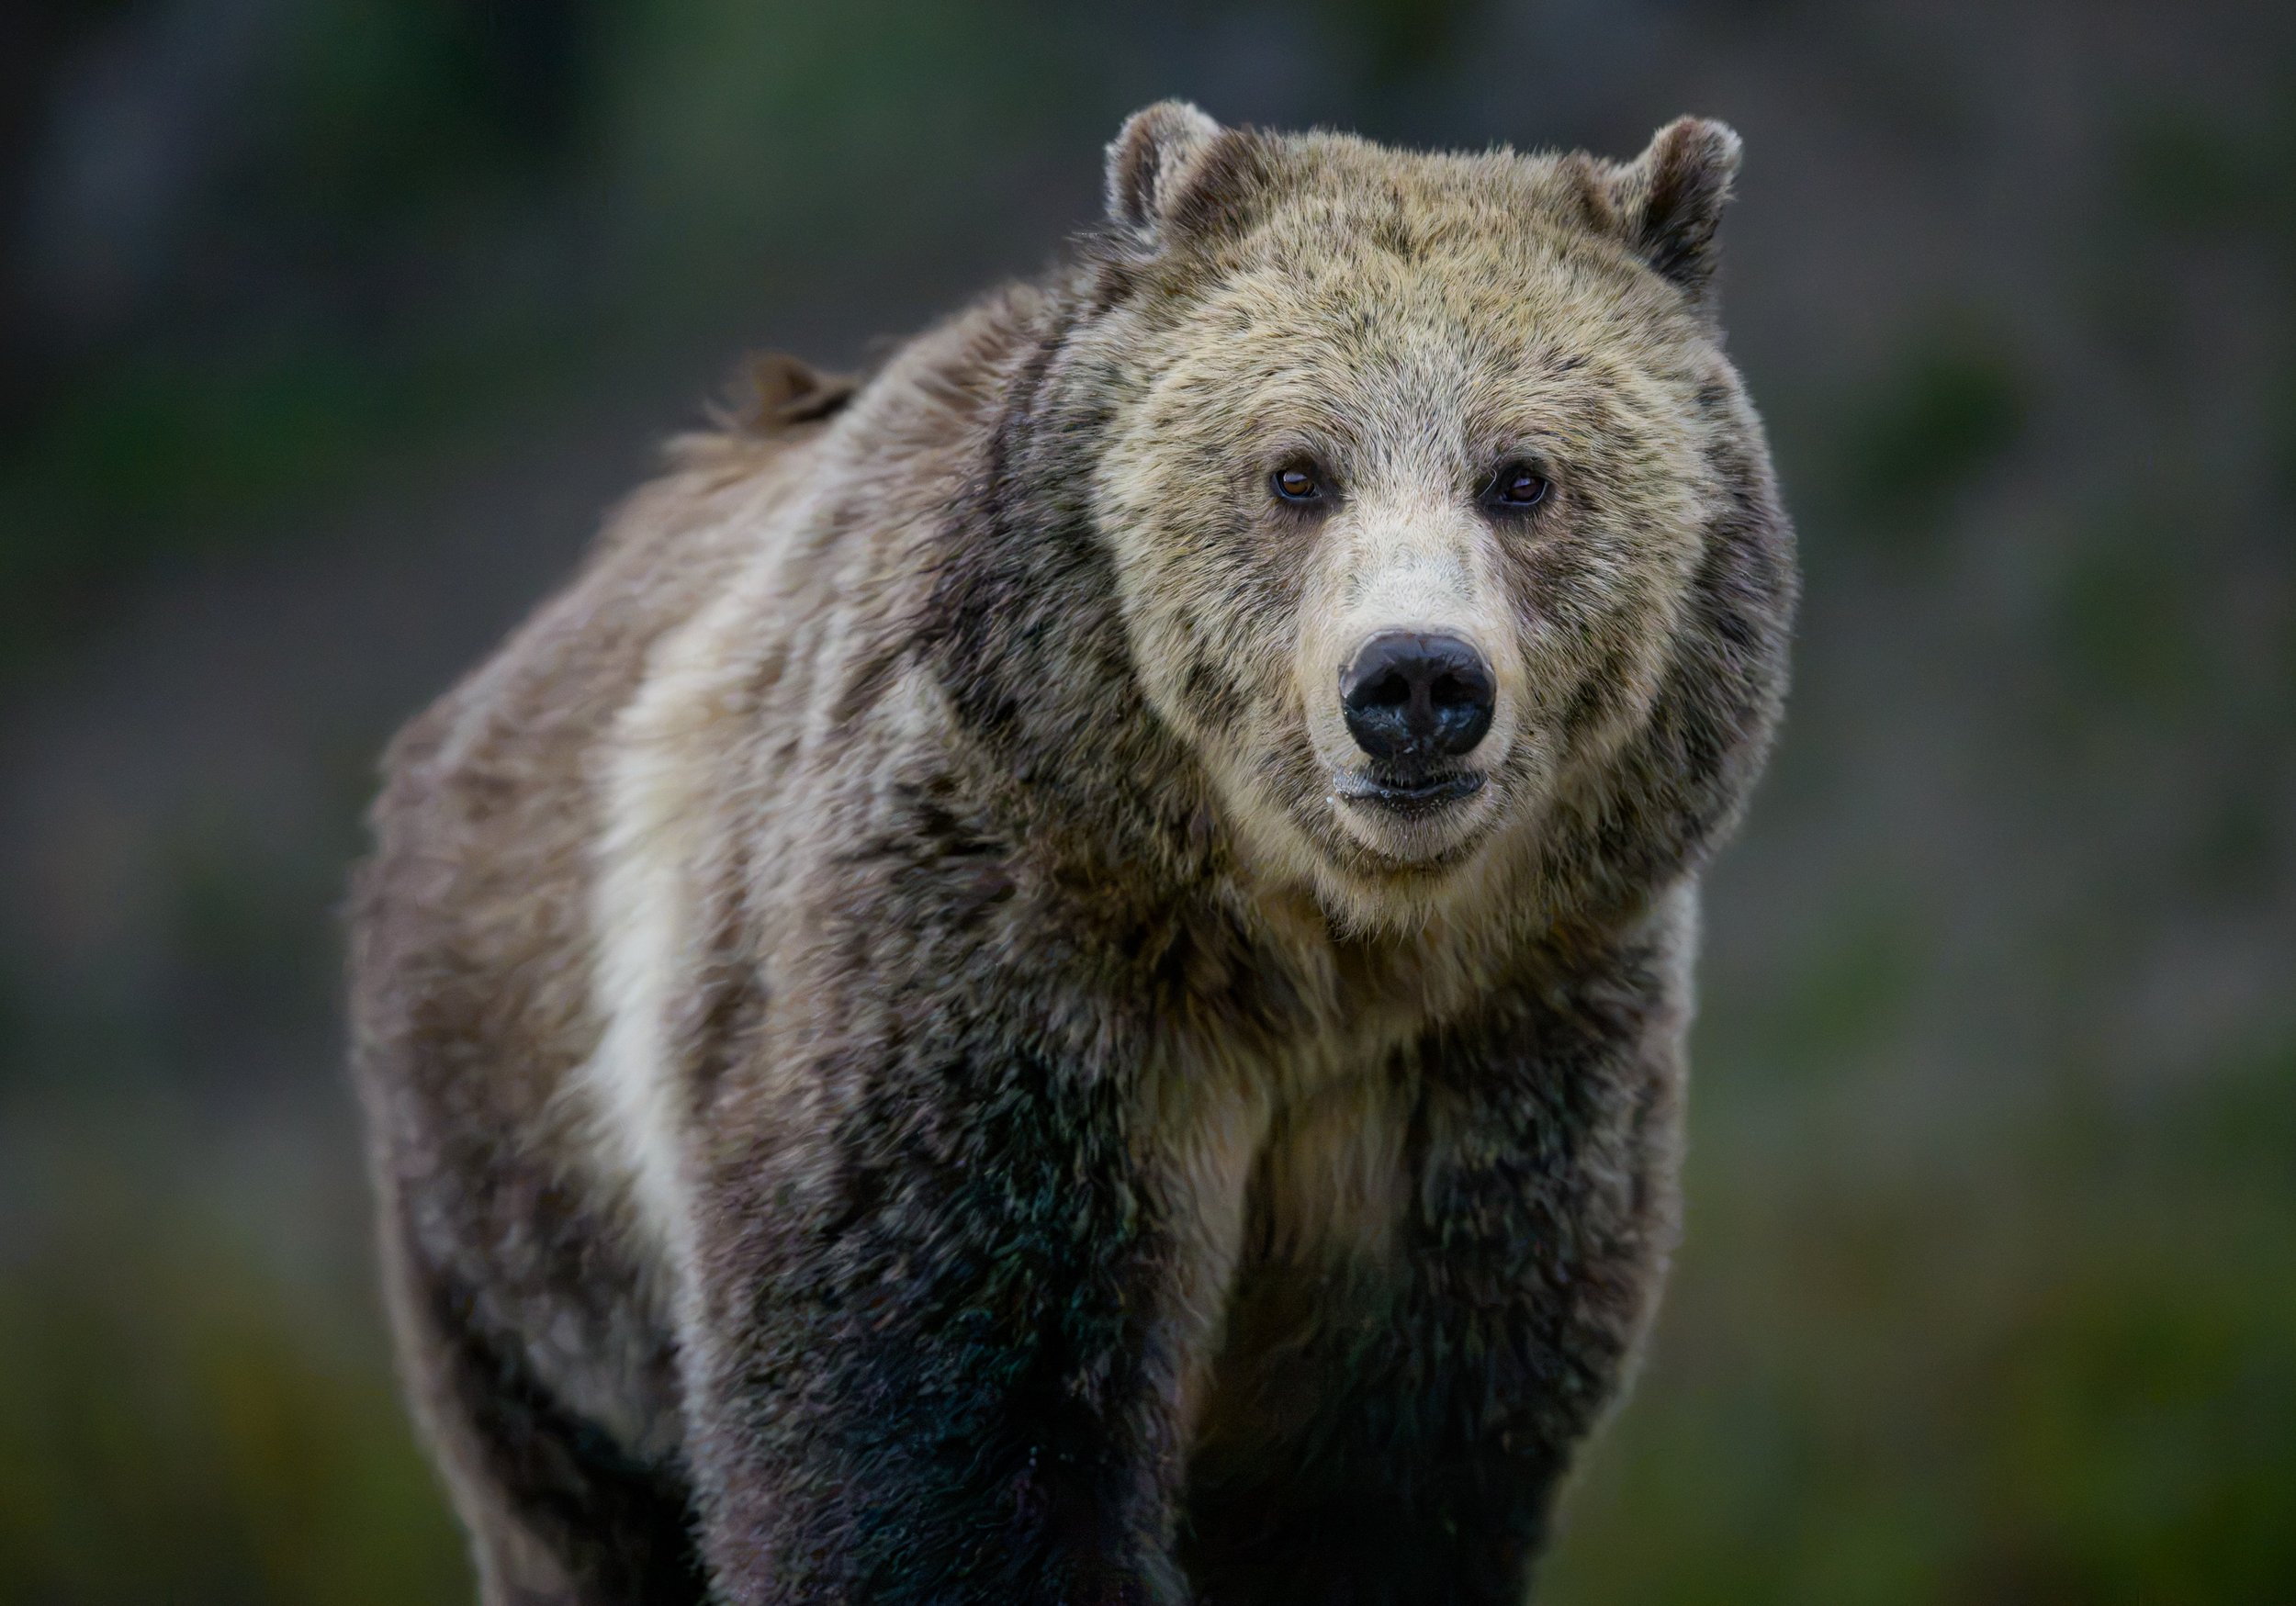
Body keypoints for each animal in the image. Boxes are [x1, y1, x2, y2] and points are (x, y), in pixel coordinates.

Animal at [349, 101, 1797, 1606]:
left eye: (1522, 477)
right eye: (1296, 471)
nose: (1413, 683)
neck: (1313, 953)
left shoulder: (1495, 1061)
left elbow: (1383, 1483)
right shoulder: (1013, 970)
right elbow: (943, 1430)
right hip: (519, 1209)